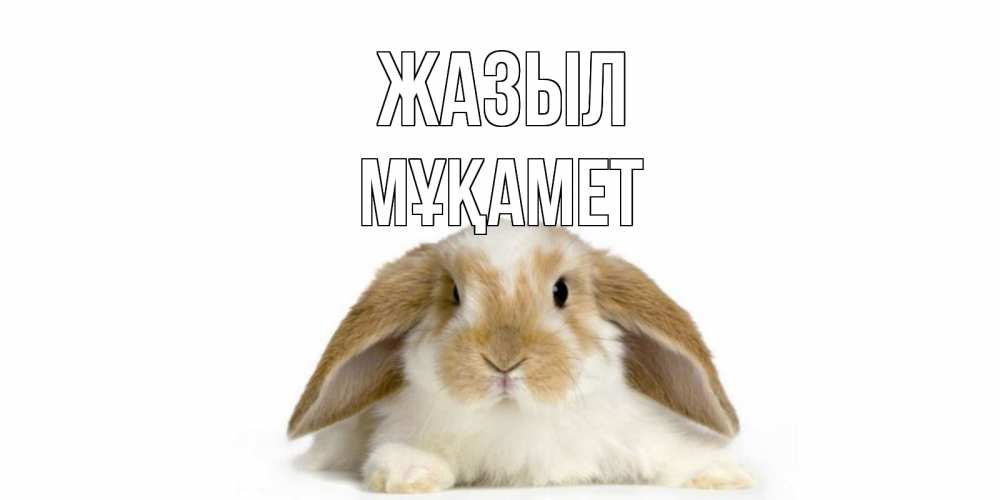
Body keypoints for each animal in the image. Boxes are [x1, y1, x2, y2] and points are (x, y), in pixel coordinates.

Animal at [288, 225, 753, 493]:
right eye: (454, 294)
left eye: (561, 291)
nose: (504, 360)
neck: (514, 416)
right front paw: (409, 474)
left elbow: (671, 452)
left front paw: (724, 475)